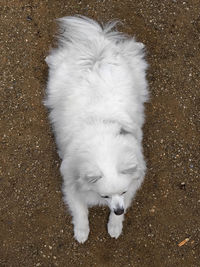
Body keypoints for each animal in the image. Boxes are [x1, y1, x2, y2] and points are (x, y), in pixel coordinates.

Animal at [45, 15, 148, 244]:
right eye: (105, 196)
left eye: (123, 192)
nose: (118, 210)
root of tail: (97, 46)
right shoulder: (72, 185)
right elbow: (80, 212)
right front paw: (82, 232)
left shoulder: (132, 185)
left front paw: (114, 226)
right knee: (56, 58)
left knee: (129, 49)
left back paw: (138, 45)